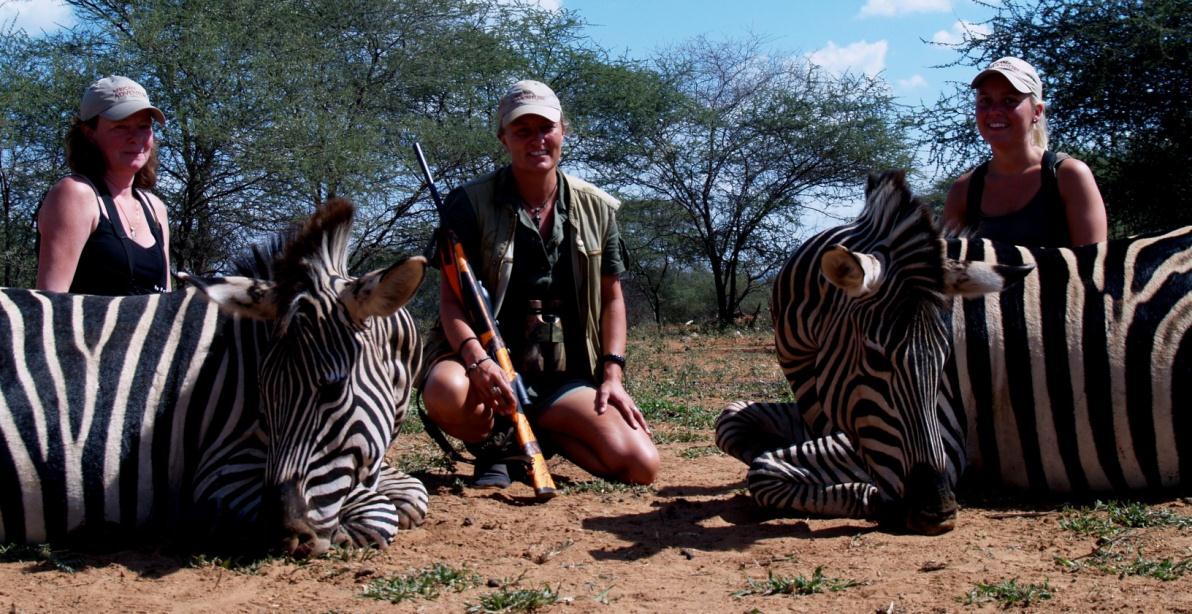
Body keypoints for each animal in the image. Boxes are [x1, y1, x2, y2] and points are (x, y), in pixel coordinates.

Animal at [0, 199, 429, 555]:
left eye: (333, 388)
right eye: (261, 393)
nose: (284, 535)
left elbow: (411, 492)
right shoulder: (220, 472)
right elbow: (379, 513)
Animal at [715, 171, 1192, 534]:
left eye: (947, 360)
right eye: (875, 360)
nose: (939, 510)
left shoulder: (945, 434)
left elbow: (764, 470)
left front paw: (872, 497)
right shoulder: (834, 411)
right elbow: (732, 422)